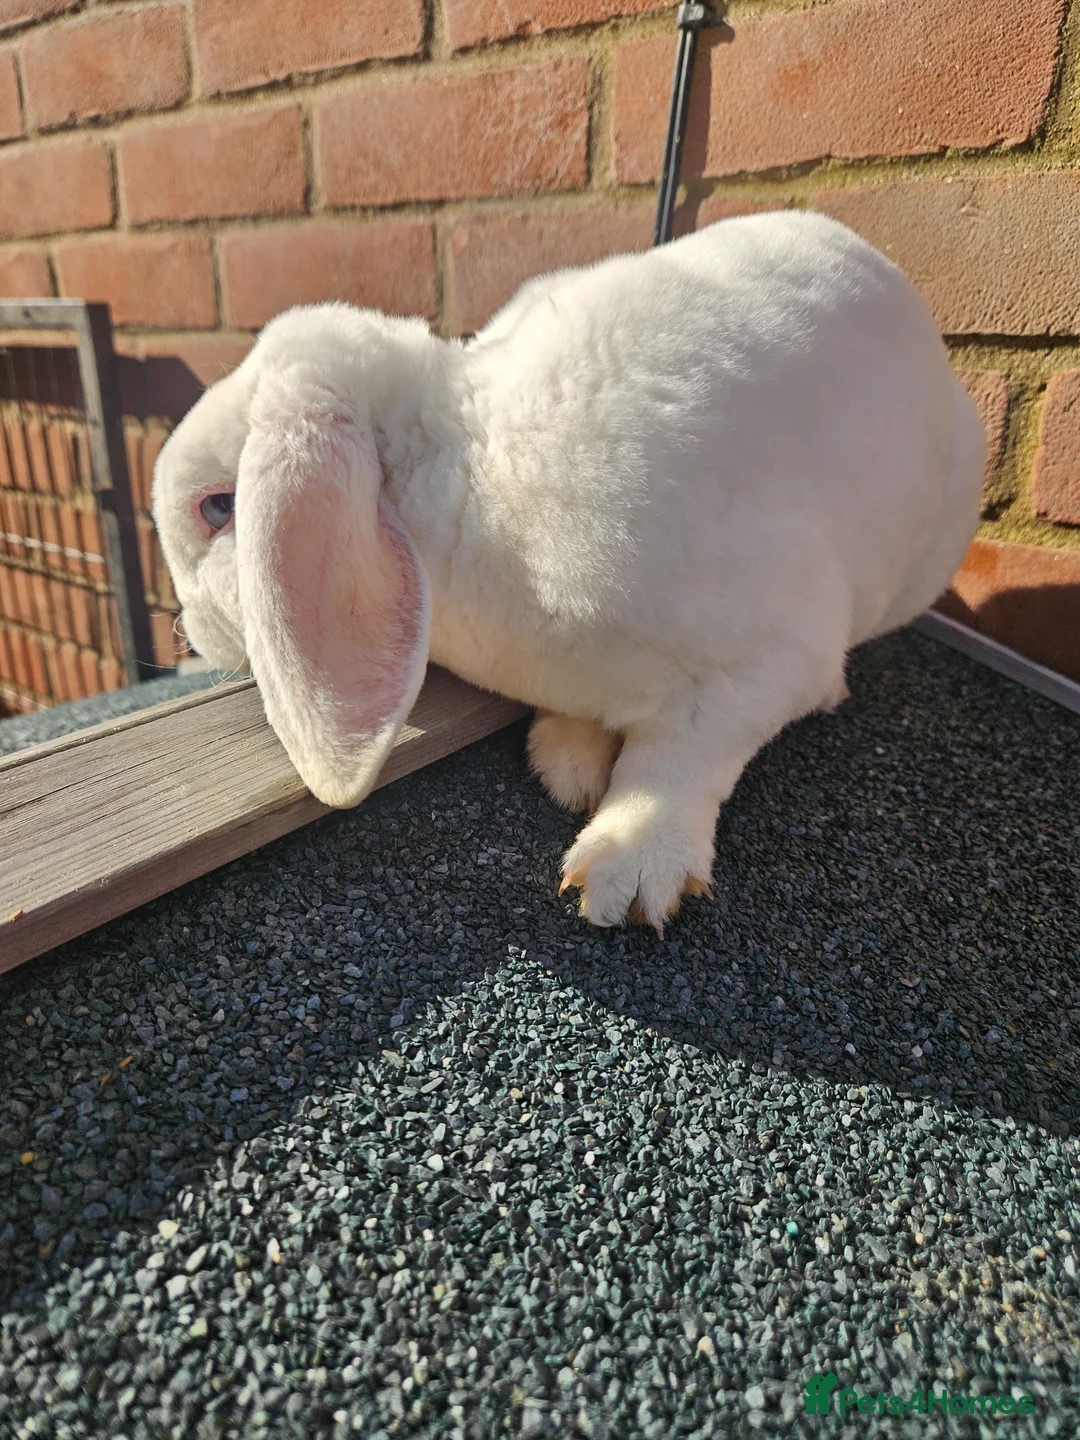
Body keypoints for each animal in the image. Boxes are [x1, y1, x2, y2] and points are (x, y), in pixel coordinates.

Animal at [152, 210, 985, 935]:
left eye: (217, 508)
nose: (184, 626)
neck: (468, 466)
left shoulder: (776, 653)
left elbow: (686, 753)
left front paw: (630, 869)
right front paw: (571, 760)